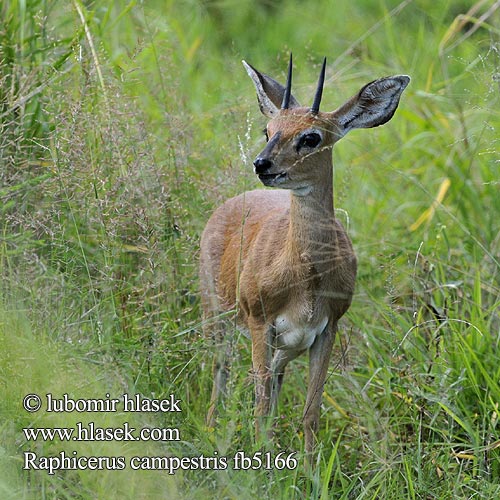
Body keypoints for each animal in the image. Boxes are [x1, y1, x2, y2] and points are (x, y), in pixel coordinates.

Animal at [199, 54, 410, 454]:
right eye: (268, 130)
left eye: (310, 137)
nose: (262, 164)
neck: (307, 276)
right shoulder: (260, 322)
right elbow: (261, 405)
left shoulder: (326, 329)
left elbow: (310, 412)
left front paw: (309, 467)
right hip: (218, 315)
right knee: (221, 370)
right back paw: (211, 431)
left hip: (285, 344)